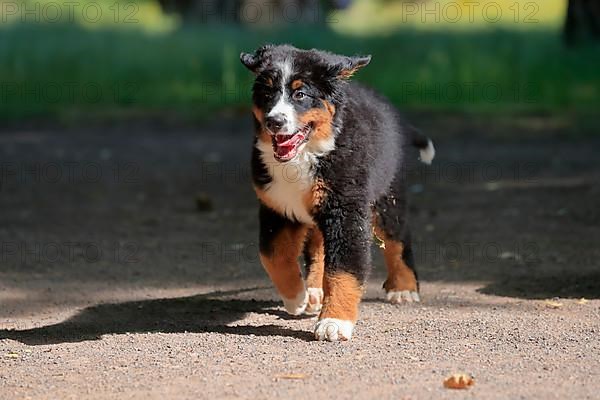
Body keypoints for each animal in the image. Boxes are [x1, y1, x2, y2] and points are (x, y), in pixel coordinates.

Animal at [241, 44, 434, 340]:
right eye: (267, 93)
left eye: (300, 94)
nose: (275, 121)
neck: (307, 155)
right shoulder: (278, 207)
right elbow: (272, 255)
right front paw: (296, 297)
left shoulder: (346, 210)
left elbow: (344, 268)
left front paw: (334, 321)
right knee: (319, 249)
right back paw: (312, 291)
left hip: (387, 196)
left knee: (398, 239)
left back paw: (403, 288)